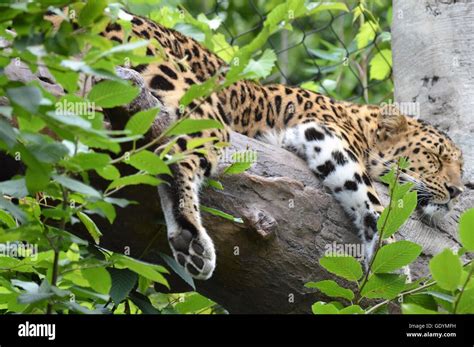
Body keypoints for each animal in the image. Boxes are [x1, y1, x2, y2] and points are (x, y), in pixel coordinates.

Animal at [45, 6, 462, 282]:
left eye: (460, 165)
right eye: (435, 156)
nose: (458, 191)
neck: (359, 121)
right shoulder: (323, 132)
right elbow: (369, 195)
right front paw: (390, 257)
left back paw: (184, 241)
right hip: (198, 108)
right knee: (178, 153)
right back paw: (192, 235)